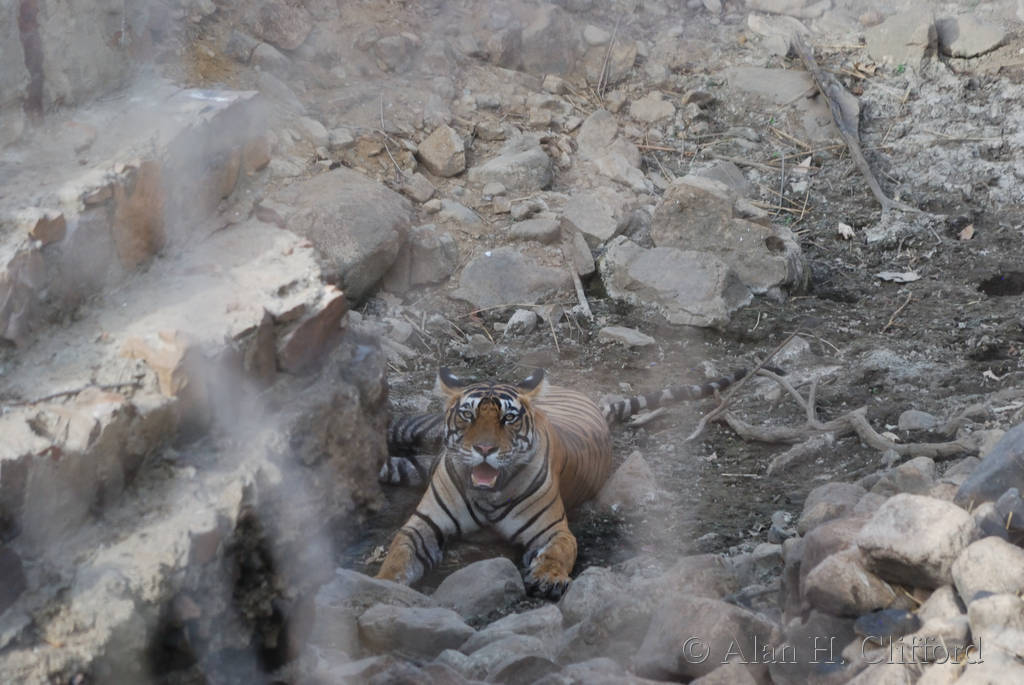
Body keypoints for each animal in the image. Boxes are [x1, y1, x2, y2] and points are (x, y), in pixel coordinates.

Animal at [374, 365, 758, 598]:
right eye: (468, 415)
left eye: (508, 418)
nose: (484, 449)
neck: (488, 495)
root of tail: (590, 401)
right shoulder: (423, 524)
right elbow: (398, 552)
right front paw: (382, 583)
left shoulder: (553, 530)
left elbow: (559, 550)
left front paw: (548, 577)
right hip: (421, 431)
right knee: (394, 433)